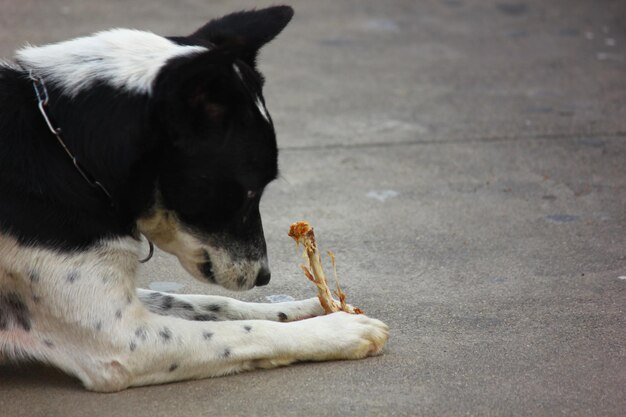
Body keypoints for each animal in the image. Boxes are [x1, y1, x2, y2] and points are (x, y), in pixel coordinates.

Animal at [0, 5, 388, 390]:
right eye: (250, 191)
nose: (264, 277)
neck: (67, 147)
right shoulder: (121, 338)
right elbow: (245, 332)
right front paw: (341, 330)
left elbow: (214, 304)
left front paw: (306, 307)